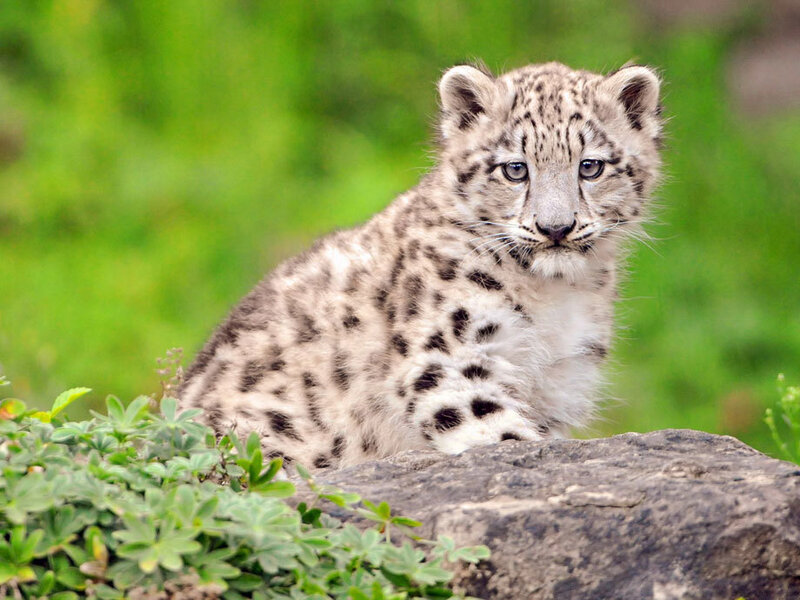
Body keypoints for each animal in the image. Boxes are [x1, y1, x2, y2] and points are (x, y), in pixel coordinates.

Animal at [178, 61, 663, 471]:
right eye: (514, 169)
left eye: (591, 166)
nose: (555, 227)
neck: (556, 297)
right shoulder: (448, 359)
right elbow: (499, 432)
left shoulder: (560, 380)